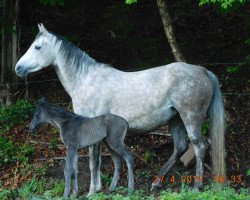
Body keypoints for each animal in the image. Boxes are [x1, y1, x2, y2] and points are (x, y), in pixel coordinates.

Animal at [16, 23, 227, 194]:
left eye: (37, 46)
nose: (18, 68)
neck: (85, 80)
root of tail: (204, 71)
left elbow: (93, 162)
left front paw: (92, 191)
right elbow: (98, 161)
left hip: (190, 118)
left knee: (199, 147)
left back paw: (196, 186)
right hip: (175, 119)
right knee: (180, 147)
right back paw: (157, 183)